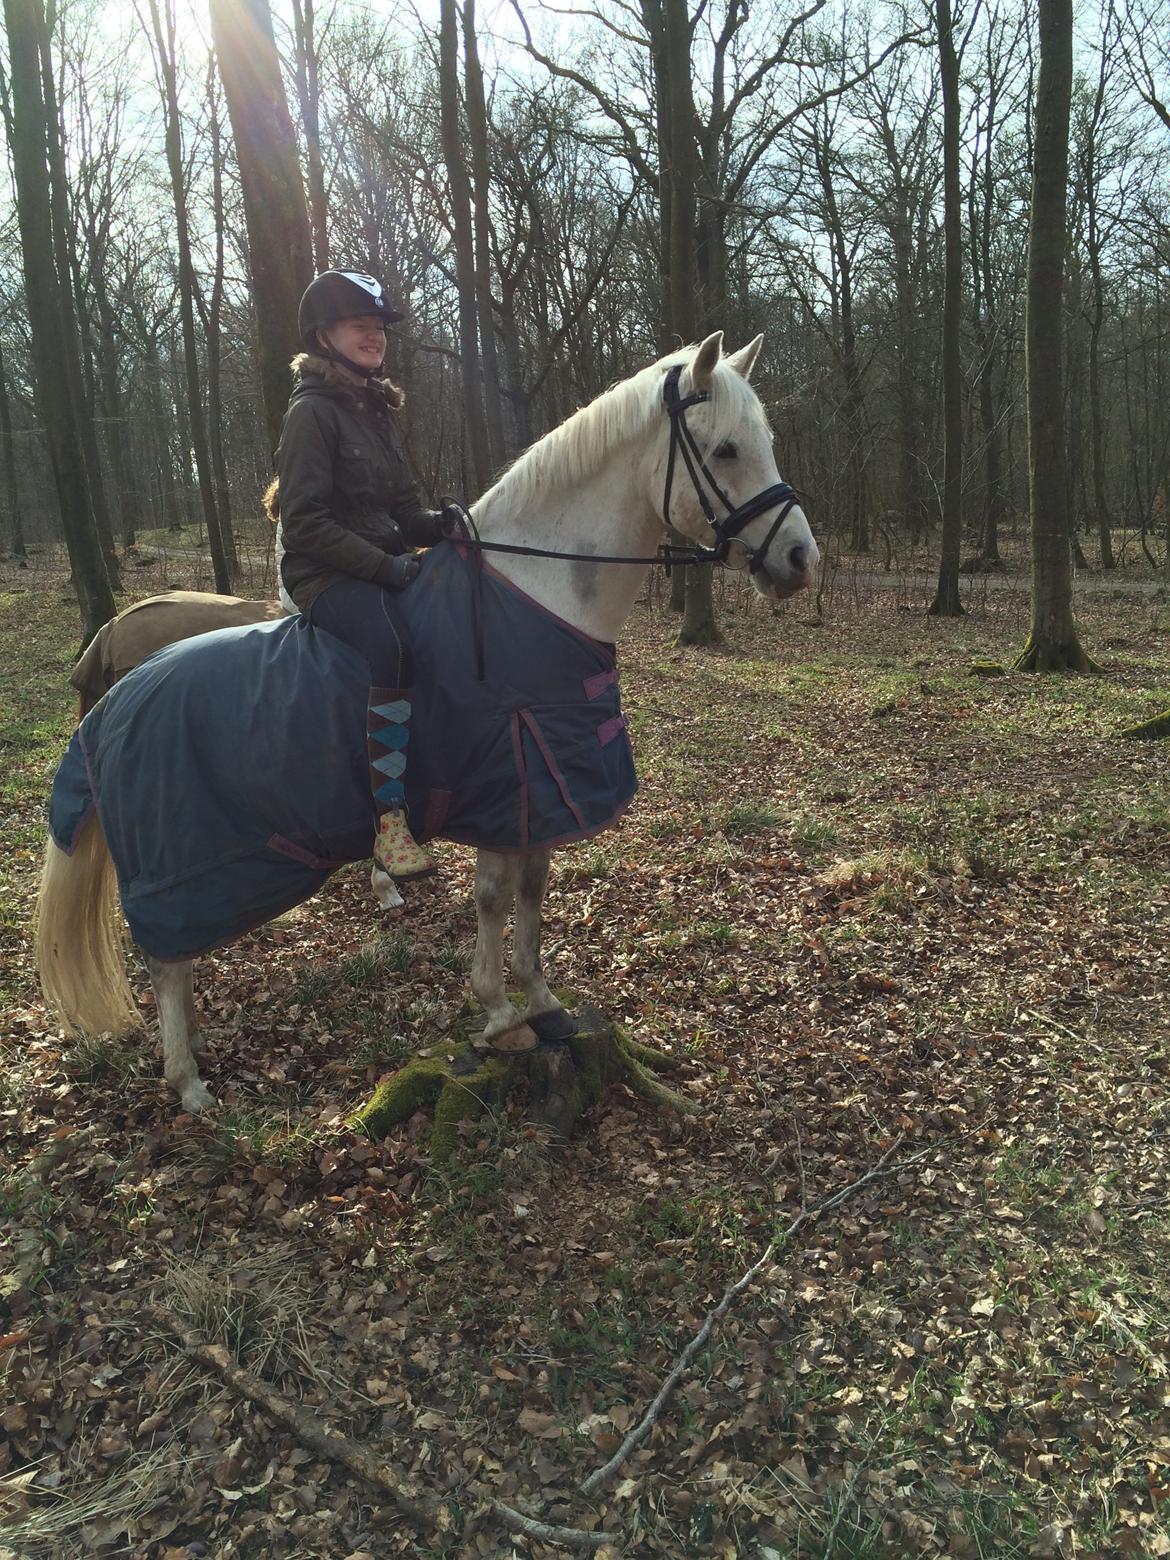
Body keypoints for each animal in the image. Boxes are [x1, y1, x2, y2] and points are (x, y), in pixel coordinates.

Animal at [35, 332, 818, 1114]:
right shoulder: (510, 781)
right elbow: (494, 897)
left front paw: (542, 1001)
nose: (800, 559)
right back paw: (187, 1080)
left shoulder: (541, 794)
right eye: (725, 450)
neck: (535, 599)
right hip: (184, 869)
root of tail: (114, 700)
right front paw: (499, 1014)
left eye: (768, 443)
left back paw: (195, 1045)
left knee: (175, 960)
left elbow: (533, 892)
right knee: (165, 962)